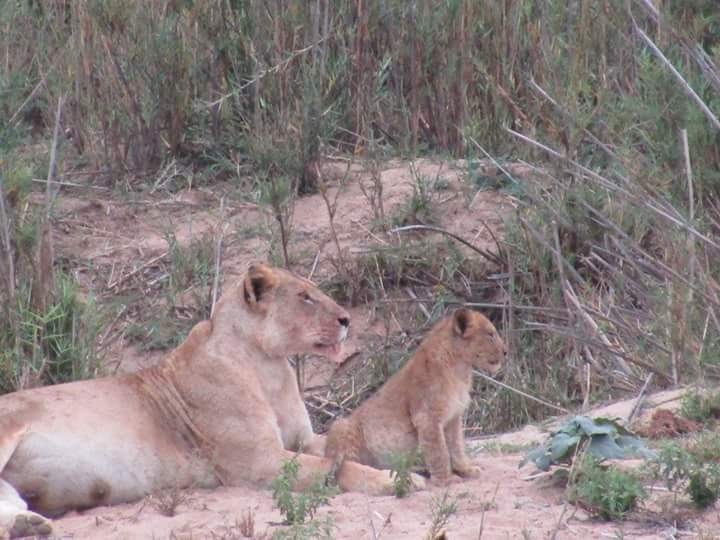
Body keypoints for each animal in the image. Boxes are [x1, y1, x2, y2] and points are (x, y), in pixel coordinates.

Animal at [0, 263, 421, 539]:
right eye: (305, 297)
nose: (348, 319)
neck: (268, 365)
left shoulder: (301, 439)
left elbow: (349, 447)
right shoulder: (258, 463)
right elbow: (339, 468)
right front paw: (400, 480)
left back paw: (29, 525)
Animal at [325, 308, 506, 486]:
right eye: (490, 334)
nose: (506, 352)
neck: (461, 370)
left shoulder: (454, 417)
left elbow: (456, 445)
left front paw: (465, 469)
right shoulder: (427, 417)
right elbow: (439, 452)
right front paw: (445, 480)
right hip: (341, 427)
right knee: (346, 468)